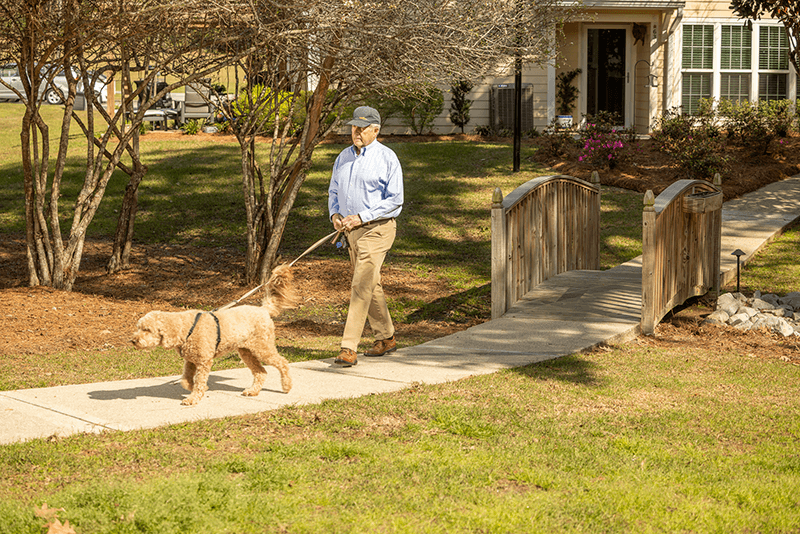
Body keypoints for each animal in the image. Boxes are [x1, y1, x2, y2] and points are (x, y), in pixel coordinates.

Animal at [133, 266, 298, 408]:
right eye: (138, 328)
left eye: (147, 329)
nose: (133, 340)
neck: (185, 328)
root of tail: (263, 309)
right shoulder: (190, 361)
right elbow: (185, 380)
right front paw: (196, 388)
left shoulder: (203, 361)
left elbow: (198, 381)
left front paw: (193, 398)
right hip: (247, 352)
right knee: (261, 372)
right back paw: (253, 391)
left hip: (263, 348)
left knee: (282, 362)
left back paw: (287, 386)